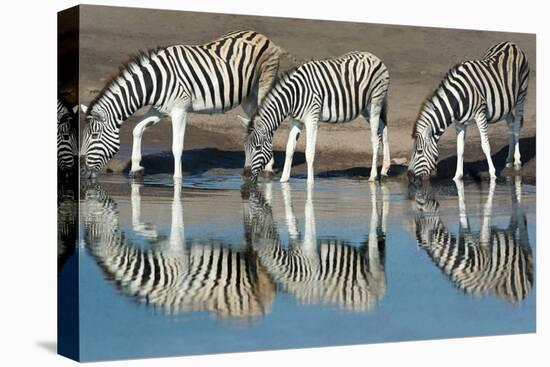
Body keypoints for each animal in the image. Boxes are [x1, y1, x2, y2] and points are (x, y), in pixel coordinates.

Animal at [81, 30, 294, 180]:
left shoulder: (179, 111)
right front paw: (136, 169)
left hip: (264, 85)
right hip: (248, 96)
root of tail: (263, 36)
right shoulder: (159, 109)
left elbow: (177, 146)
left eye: (94, 136)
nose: (83, 172)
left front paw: (177, 179)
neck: (155, 82)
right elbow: (137, 129)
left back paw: (268, 169)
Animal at [82, 183, 276, 320]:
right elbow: (143, 230)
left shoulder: (177, 252)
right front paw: (148, 228)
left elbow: (176, 216)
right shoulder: (161, 245)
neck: (153, 272)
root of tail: (263, 310)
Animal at [243, 51, 392, 183]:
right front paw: (283, 180)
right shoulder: (295, 120)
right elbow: (290, 149)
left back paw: (373, 176)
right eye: (245, 147)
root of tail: (375, 57)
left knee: (375, 139)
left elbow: (309, 152)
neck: (294, 96)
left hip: (375, 103)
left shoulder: (311, 118)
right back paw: (384, 169)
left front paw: (310, 184)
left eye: (258, 148)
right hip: (365, 109)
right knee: (383, 128)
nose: (245, 175)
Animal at [246, 183, 388, 312]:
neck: (292, 267)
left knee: (374, 238)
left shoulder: (310, 251)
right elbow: (292, 221)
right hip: (361, 256)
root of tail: (374, 301)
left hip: (374, 266)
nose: (249, 191)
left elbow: (308, 212)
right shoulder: (296, 244)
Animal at [408, 41, 532, 183]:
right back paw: (509, 160)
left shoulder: (480, 114)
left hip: (521, 94)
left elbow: (485, 145)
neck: (457, 98)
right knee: (511, 123)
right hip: (505, 104)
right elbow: (460, 148)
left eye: (419, 151)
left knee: (516, 125)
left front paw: (493, 175)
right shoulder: (459, 122)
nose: (409, 176)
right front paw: (457, 177)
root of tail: (511, 44)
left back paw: (517, 161)